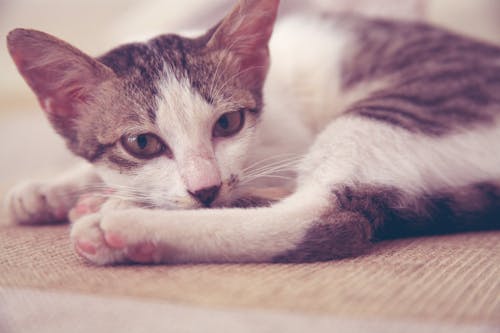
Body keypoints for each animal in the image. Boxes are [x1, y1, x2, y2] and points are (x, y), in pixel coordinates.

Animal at [4, 0, 500, 264]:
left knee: (325, 215)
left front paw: (116, 200)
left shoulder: (287, 142)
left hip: (412, 105)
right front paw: (50, 188)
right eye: (141, 143)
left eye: (228, 124)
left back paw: (125, 226)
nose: (204, 188)